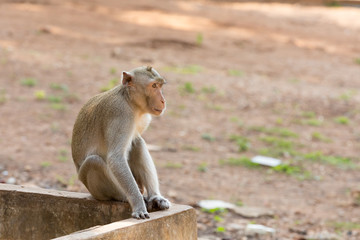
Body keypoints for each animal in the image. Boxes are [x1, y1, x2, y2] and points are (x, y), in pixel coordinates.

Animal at [72, 66, 171, 219]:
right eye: (154, 86)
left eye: (160, 86)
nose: (163, 101)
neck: (130, 101)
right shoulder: (120, 115)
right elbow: (116, 158)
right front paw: (138, 205)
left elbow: (134, 142)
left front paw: (155, 197)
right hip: (95, 189)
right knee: (93, 162)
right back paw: (124, 196)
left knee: (137, 144)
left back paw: (155, 197)